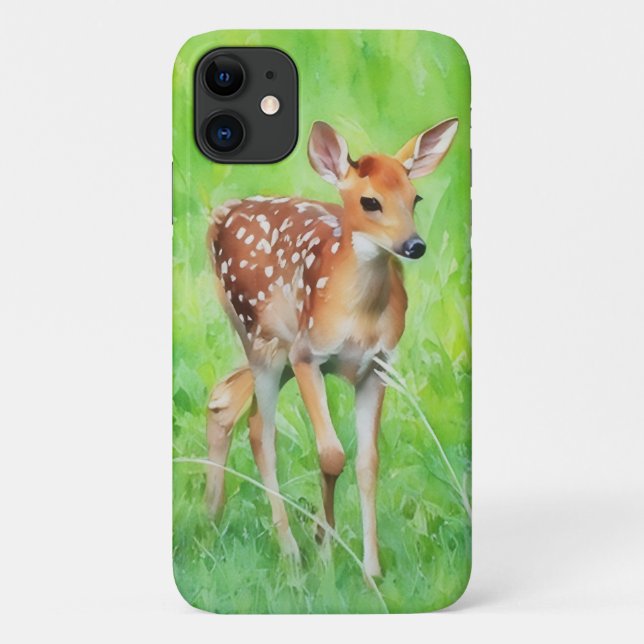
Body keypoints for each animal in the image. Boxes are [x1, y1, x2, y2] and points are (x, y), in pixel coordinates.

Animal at [204, 118, 458, 578]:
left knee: (225, 398)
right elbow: (332, 455)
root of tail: (220, 215)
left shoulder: (378, 365)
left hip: (271, 347)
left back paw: (211, 519)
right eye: (370, 201)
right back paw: (289, 553)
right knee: (260, 430)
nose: (414, 245)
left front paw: (371, 571)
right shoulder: (308, 355)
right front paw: (325, 551)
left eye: (415, 197)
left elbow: (368, 461)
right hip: (263, 339)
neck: (359, 318)